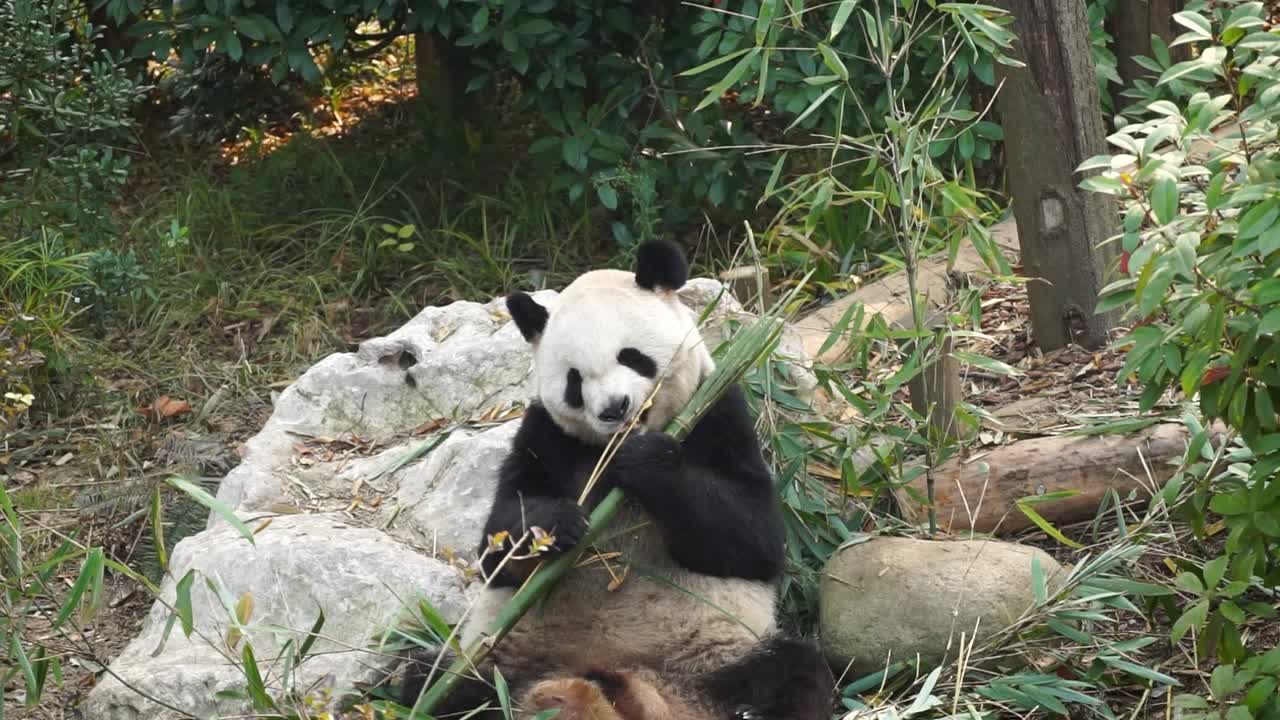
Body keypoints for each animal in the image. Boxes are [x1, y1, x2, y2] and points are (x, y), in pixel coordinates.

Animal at [401, 240, 834, 720]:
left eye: (631, 356)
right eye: (574, 381)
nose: (614, 408)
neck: (613, 448)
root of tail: (633, 685)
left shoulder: (717, 409)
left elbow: (755, 539)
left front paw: (647, 464)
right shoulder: (545, 436)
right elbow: (498, 549)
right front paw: (556, 523)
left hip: (718, 652)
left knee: (793, 674)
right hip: (499, 654)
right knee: (433, 683)